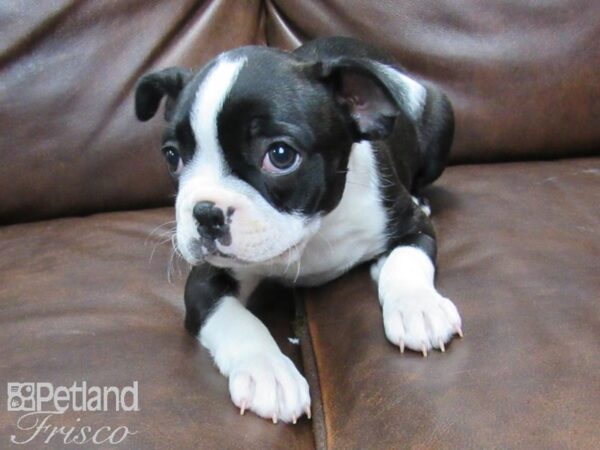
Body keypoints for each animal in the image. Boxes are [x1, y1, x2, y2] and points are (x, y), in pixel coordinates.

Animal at [136, 36, 462, 426]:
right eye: (172, 157)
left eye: (280, 155)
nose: (205, 212)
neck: (313, 231)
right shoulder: (205, 279)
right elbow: (233, 318)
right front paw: (268, 372)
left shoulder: (414, 226)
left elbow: (407, 260)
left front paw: (419, 308)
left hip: (441, 112)